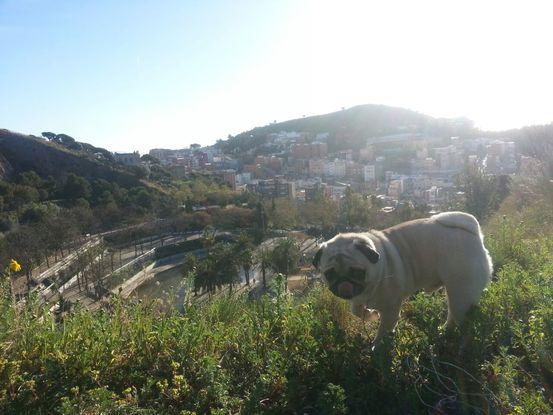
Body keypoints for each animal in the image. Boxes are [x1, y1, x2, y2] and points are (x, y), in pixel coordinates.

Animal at [310, 211, 492, 344]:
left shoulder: (390, 310)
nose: (344, 284)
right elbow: (357, 311)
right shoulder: (357, 298)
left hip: (461, 295)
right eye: (329, 274)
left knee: (461, 319)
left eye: (357, 272)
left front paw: (377, 349)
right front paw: (370, 315)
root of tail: (473, 233)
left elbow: (383, 331)